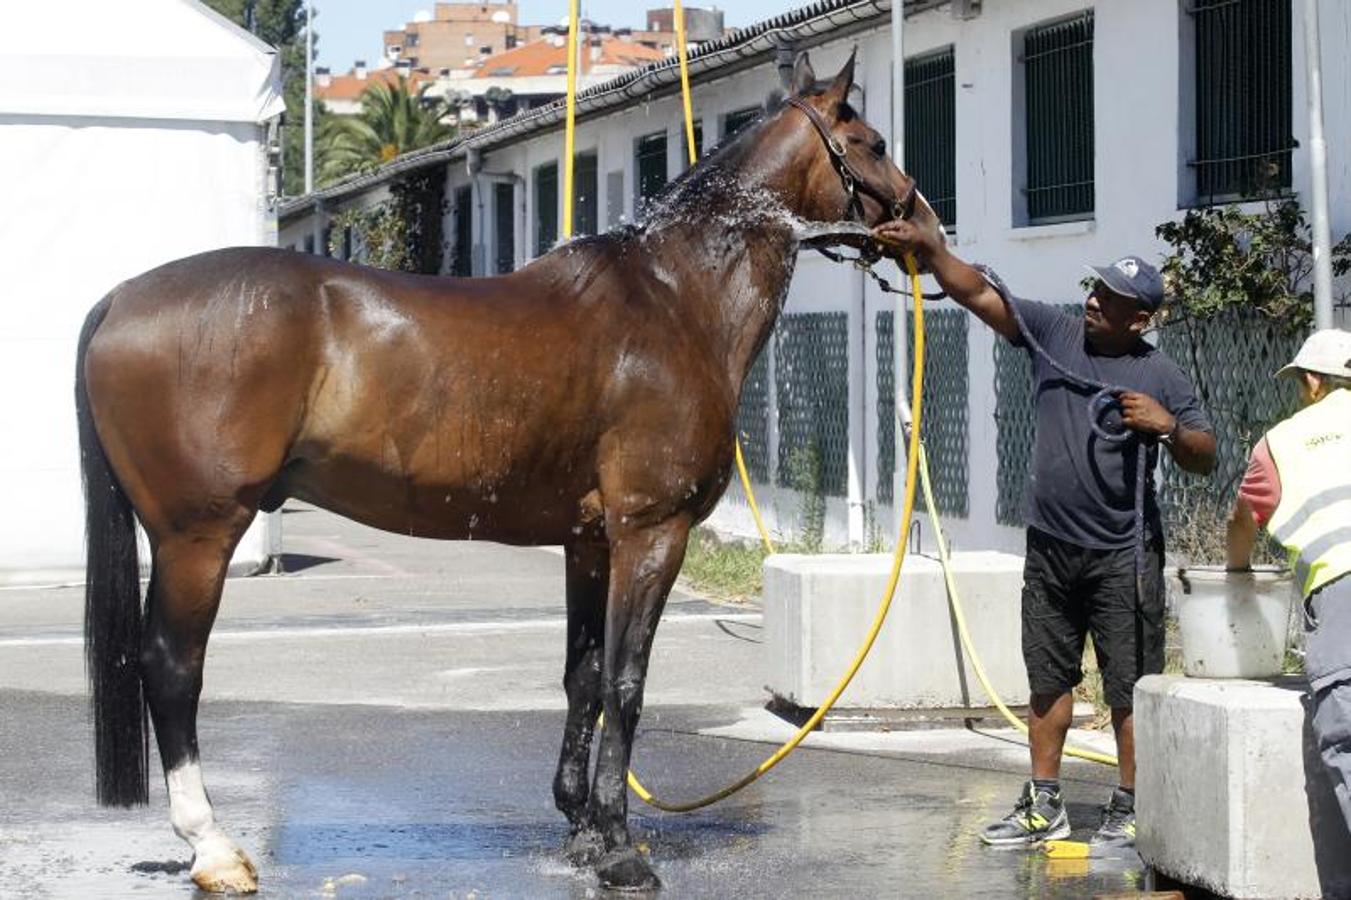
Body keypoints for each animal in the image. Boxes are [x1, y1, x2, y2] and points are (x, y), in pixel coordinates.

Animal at [73, 52, 940, 886]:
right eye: (870, 142)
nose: (926, 227)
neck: (671, 301)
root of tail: (120, 297)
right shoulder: (650, 533)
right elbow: (626, 681)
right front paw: (620, 849)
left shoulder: (589, 542)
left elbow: (583, 677)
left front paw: (583, 830)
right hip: (198, 536)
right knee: (172, 668)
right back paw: (213, 847)